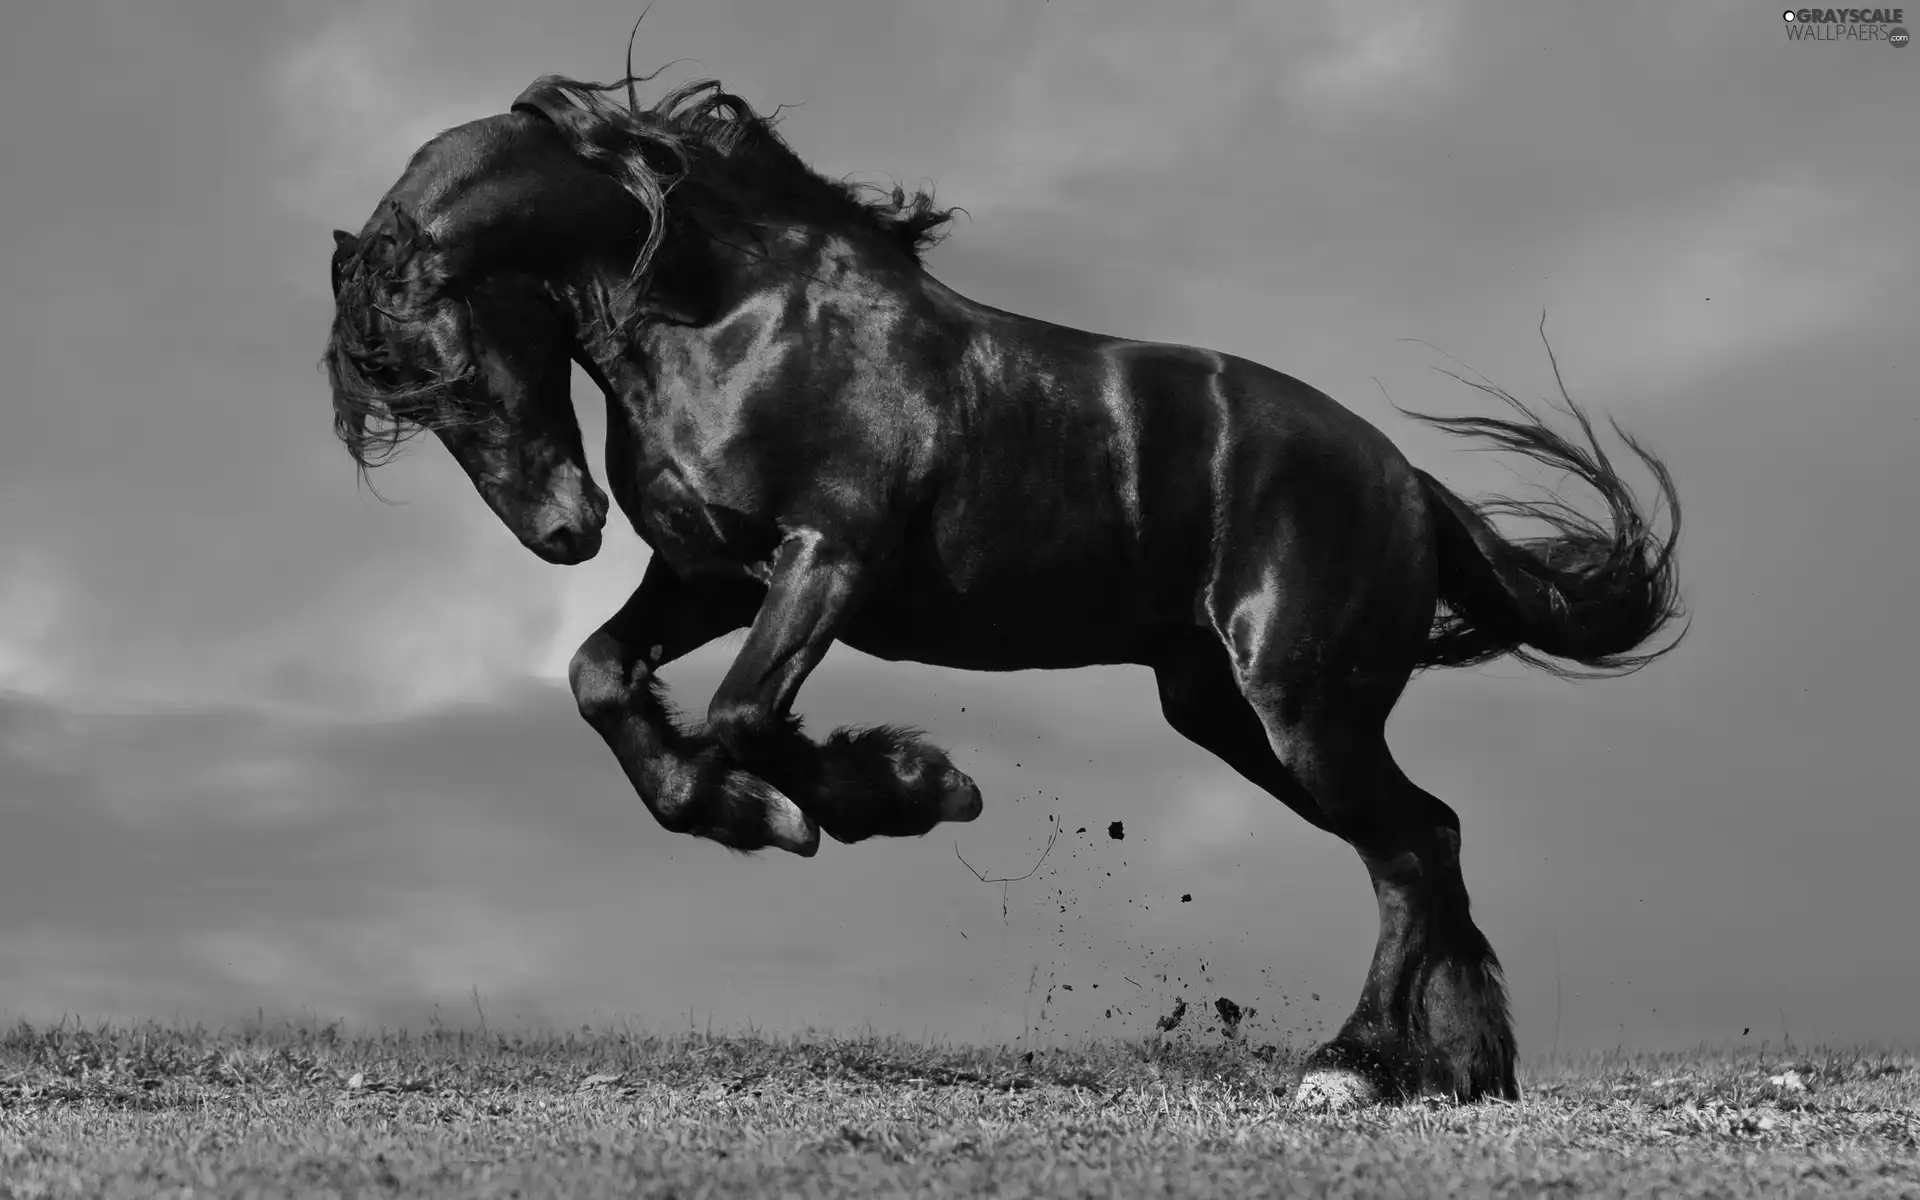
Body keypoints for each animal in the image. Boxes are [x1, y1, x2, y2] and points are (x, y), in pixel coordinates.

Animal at [326, 72, 1681, 1105]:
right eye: (398, 394)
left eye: (447, 365)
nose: (563, 531)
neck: (735, 316)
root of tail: (1408, 483)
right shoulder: (707, 572)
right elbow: (604, 679)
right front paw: (752, 811)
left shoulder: (826, 560)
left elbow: (743, 714)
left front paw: (899, 790)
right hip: (1228, 713)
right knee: (1428, 838)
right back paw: (1456, 1070)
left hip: (1305, 708)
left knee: (1409, 848)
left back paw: (1353, 1067)